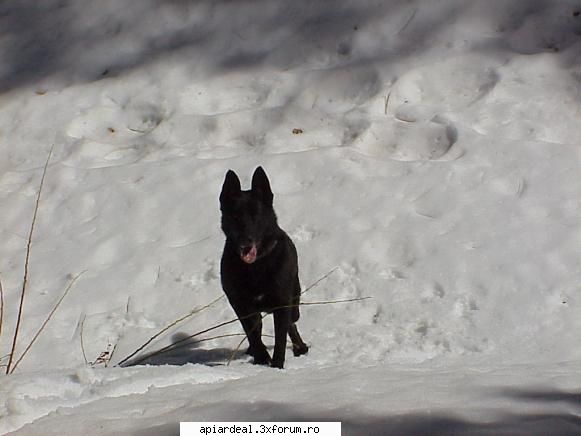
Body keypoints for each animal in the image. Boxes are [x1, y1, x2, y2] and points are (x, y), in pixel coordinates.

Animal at [219, 166, 308, 368]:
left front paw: (276, 365)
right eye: (235, 216)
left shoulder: (282, 303)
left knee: (292, 322)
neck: (256, 266)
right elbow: (252, 333)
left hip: (293, 298)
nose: (245, 240)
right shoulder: (240, 304)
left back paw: (300, 347)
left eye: (256, 216)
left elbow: (280, 337)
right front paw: (261, 357)